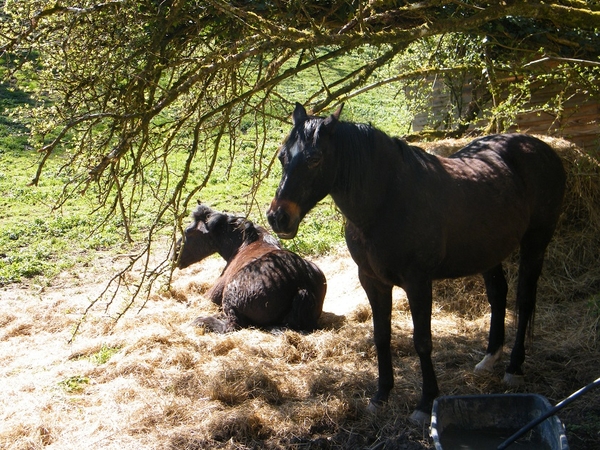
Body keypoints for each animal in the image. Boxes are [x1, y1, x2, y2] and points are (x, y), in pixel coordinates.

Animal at [173, 204, 326, 334]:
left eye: (188, 232)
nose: (175, 254)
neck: (245, 242)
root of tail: (301, 285)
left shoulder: (212, 294)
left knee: (231, 325)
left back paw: (201, 321)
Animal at [268, 101, 568, 422]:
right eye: (283, 156)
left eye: (314, 158)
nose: (278, 217)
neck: (386, 201)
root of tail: (541, 147)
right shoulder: (372, 281)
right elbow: (381, 336)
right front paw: (381, 396)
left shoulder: (418, 283)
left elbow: (422, 341)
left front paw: (425, 403)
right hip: (490, 252)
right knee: (498, 295)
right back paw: (489, 359)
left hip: (535, 243)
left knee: (524, 300)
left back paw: (514, 368)